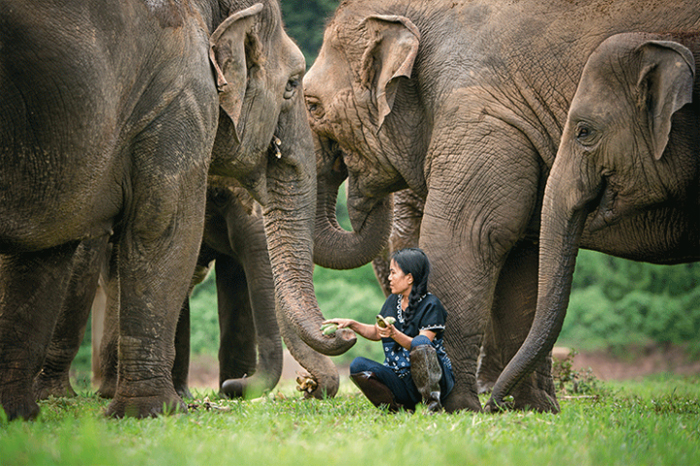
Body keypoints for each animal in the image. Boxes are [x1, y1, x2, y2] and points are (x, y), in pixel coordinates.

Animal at [0, 0, 350, 424]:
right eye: (292, 84)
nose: (341, 331)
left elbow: (46, 247)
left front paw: (17, 416)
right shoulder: (178, 97)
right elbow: (162, 230)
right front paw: (151, 411)